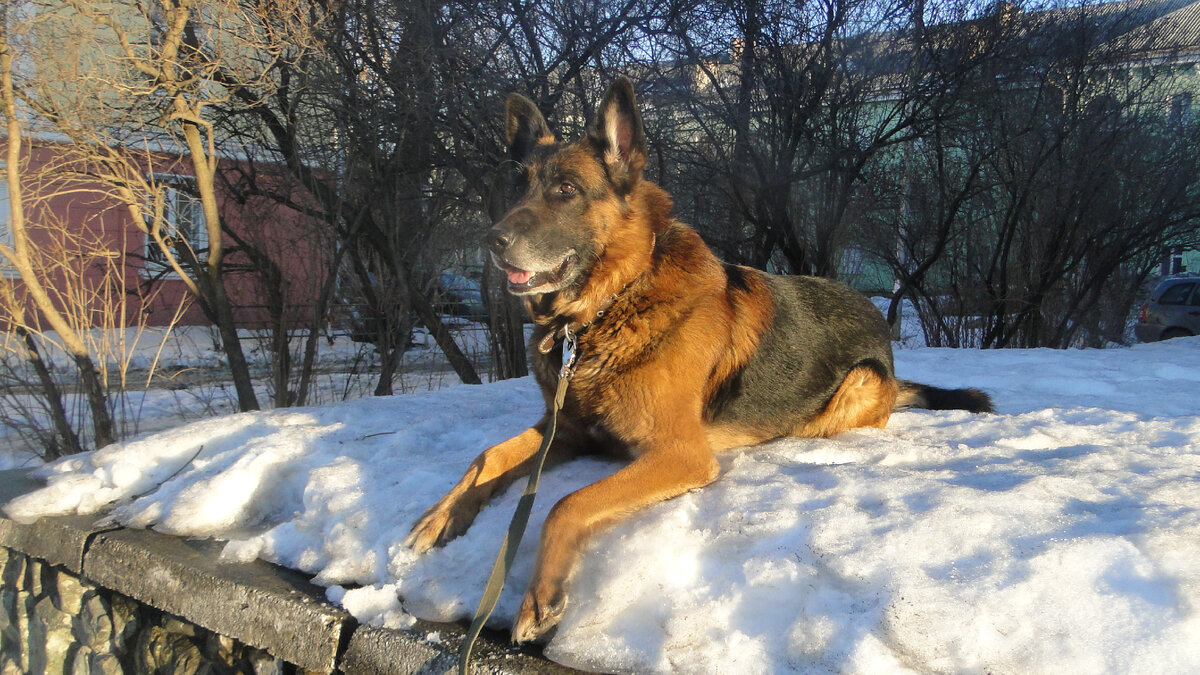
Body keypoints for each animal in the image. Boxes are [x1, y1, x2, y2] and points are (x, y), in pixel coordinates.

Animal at [408, 76, 988, 638]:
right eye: (516, 188)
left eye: (565, 190)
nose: (491, 240)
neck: (613, 305)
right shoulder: (565, 430)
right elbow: (488, 456)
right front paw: (440, 516)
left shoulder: (680, 454)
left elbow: (564, 504)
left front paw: (541, 594)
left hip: (852, 388)